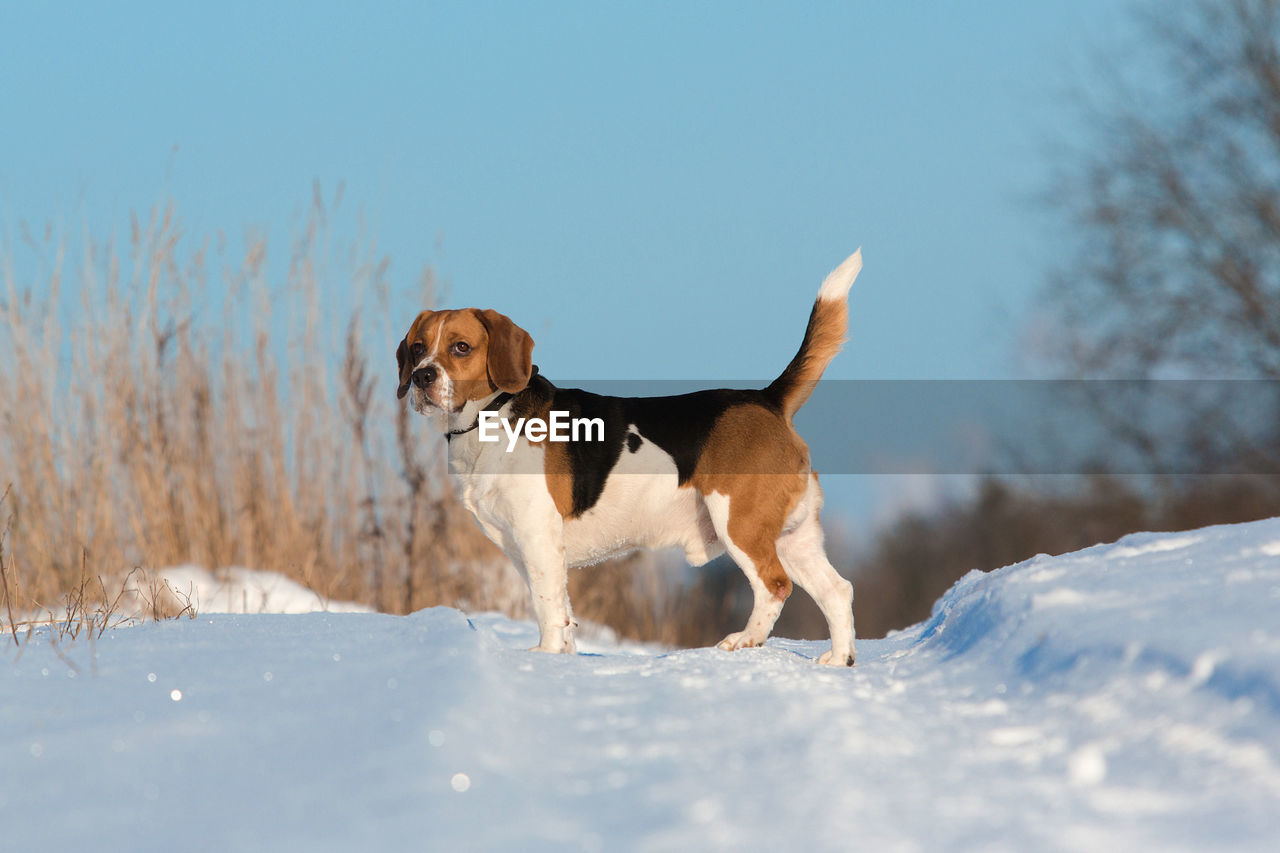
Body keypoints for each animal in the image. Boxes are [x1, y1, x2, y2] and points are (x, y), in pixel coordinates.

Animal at [396, 249, 860, 660]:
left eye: (460, 347)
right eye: (418, 347)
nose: (421, 377)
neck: (491, 415)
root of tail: (767, 399)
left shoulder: (537, 538)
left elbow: (547, 607)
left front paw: (545, 657)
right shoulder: (522, 547)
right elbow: (561, 610)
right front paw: (564, 657)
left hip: (739, 522)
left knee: (775, 586)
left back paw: (743, 641)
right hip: (794, 536)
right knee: (838, 590)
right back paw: (839, 660)